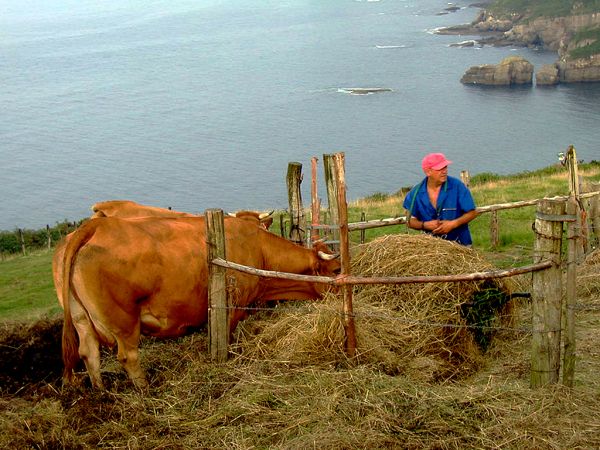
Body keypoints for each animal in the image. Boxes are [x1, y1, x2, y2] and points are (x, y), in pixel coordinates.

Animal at [62, 216, 340, 388]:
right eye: (337, 270)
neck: (258, 249)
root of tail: (97, 226)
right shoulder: (231, 307)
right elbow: (226, 336)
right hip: (125, 321)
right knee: (127, 356)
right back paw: (145, 390)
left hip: (80, 318)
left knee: (88, 353)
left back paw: (101, 392)